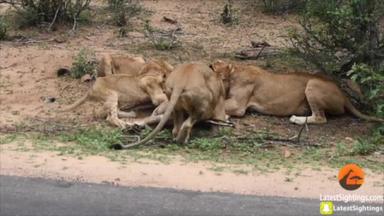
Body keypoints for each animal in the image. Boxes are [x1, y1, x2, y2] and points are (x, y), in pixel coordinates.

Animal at [210, 60, 384, 125]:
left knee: (321, 118)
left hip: (312, 84)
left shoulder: (239, 105)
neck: (234, 72)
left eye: (211, 67)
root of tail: (343, 93)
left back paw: (296, 119)